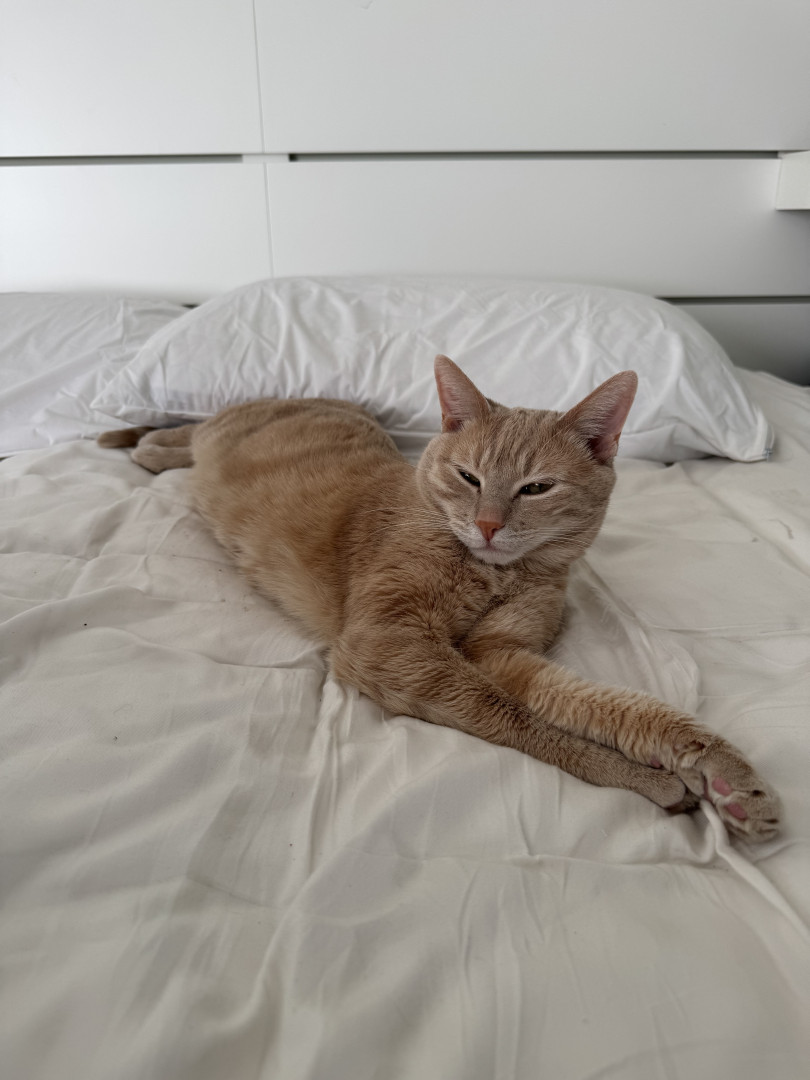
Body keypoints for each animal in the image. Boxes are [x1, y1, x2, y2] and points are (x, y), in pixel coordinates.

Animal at [99, 355, 780, 841]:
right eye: (469, 477)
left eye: (536, 488)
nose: (487, 525)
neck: (493, 573)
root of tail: (306, 393)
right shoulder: (389, 643)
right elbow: (520, 721)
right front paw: (647, 779)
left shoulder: (501, 651)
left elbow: (616, 709)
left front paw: (725, 776)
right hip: (216, 433)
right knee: (177, 434)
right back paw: (135, 442)